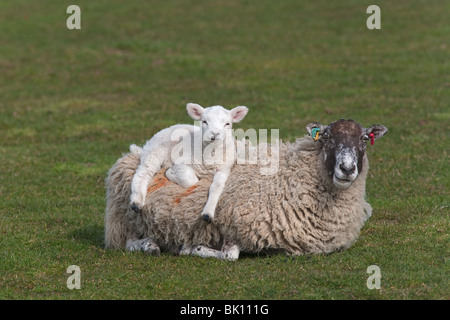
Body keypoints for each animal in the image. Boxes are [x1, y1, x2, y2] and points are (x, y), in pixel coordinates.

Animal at [105, 119, 386, 258]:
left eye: (364, 139)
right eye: (327, 137)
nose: (347, 168)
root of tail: (132, 152)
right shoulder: (234, 225)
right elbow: (230, 254)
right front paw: (193, 249)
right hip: (125, 222)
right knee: (126, 241)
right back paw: (148, 244)